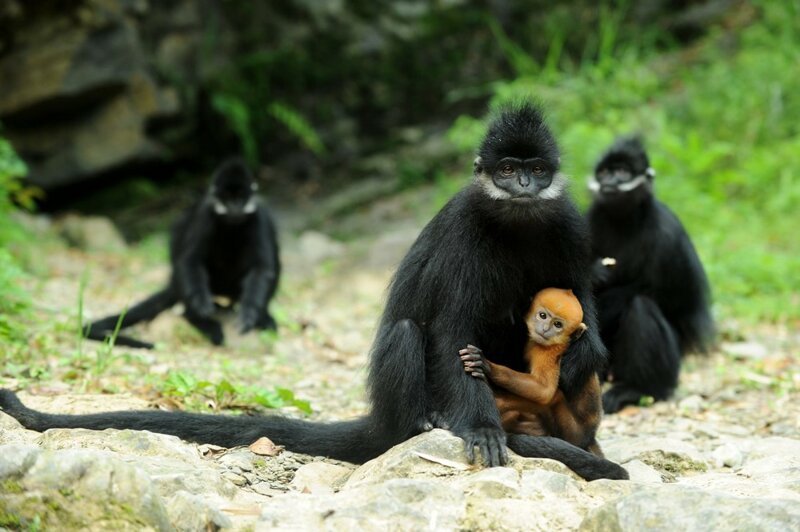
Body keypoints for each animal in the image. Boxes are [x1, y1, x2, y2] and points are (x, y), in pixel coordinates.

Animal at [85, 159, 282, 350]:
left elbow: (263, 267)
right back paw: (201, 321)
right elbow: (189, 261)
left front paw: (250, 314)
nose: (235, 207)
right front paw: (201, 309)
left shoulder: (260, 216)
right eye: (227, 199)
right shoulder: (205, 213)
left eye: (240, 198)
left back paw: (262, 316)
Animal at [462, 286, 608, 458]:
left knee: (554, 397)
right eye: (542, 316)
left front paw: (488, 367)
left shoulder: (547, 352)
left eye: (557, 324)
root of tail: (589, 436)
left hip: (572, 431)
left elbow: (544, 390)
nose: (545, 329)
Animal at [584, 135, 716, 414]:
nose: (609, 182)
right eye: (604, 173)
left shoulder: (667, 232)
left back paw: (637, 390)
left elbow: (676, 301)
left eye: (622, 172)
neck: (623, 221)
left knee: (641, 307)